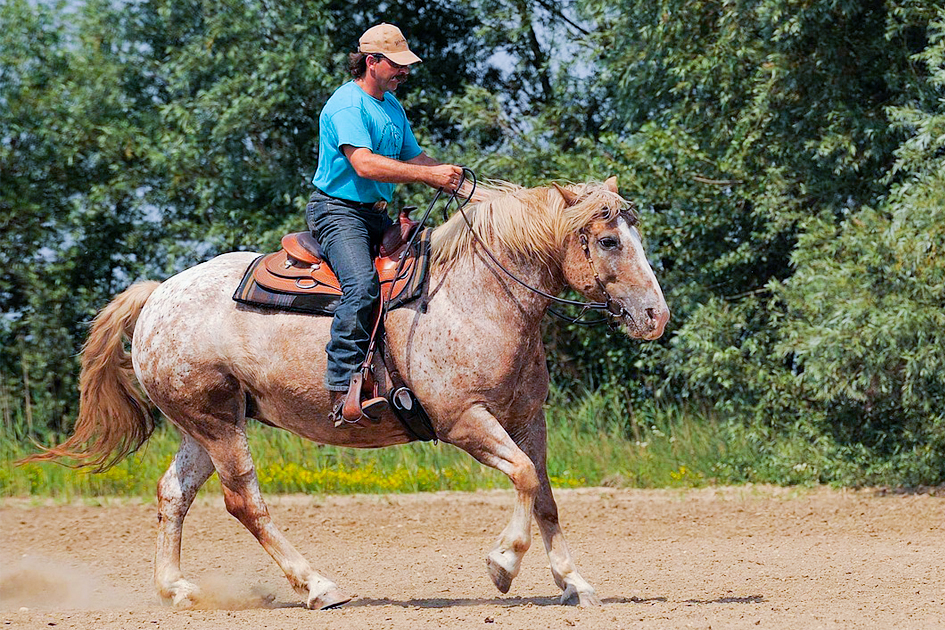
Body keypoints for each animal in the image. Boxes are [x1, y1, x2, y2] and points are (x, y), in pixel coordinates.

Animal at [25, 176, 669, 609]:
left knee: (172, 493)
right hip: (218, 425)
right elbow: (524, 478)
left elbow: (546, 497)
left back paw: (178, 589)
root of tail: (157, 295)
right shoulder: (465, 420)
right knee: (244, 501)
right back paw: (318, 586)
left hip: (204, 425)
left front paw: (575, 583)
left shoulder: (528, 418)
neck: (479, 295)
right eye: (608, 240)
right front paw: (503, 564)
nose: (655, 316)